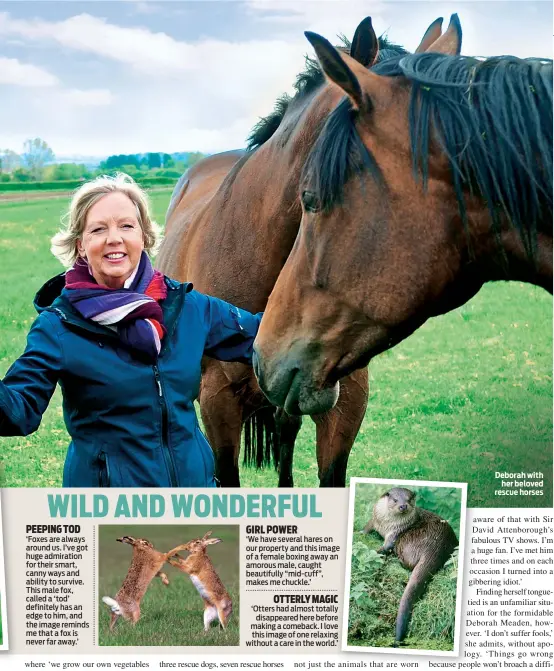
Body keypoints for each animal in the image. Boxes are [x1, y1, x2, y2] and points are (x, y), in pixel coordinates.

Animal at [360, 488, 454, 644]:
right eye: (395, 500)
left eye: (409, 500)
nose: (403, 506)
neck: (386, 524)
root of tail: (436, 547)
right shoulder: (374, 519)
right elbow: (366, 528)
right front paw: (359, 532)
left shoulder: (395, 534)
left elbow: (385, 547)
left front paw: (373, 552)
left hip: (405, 541)